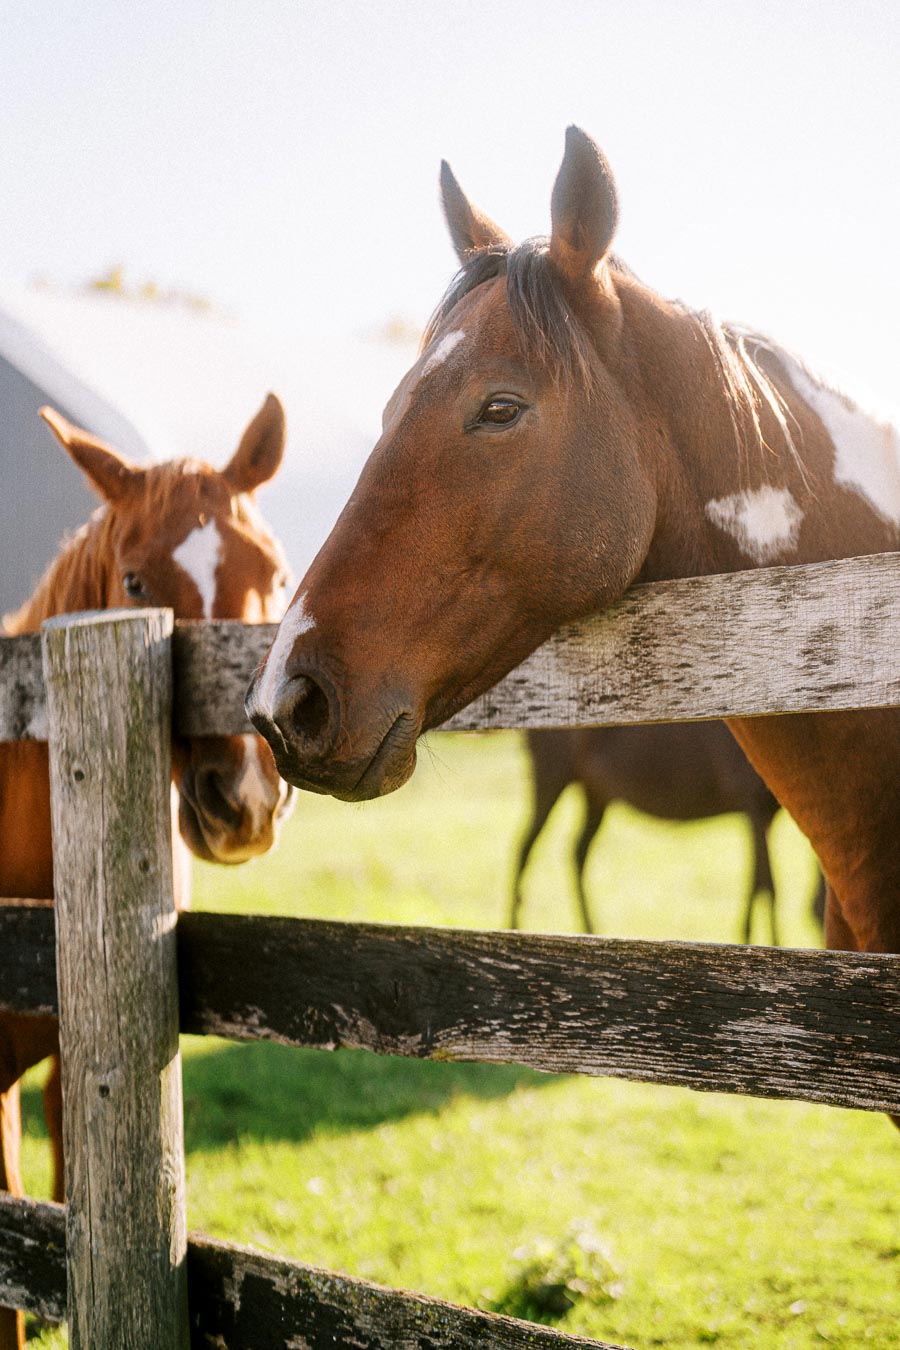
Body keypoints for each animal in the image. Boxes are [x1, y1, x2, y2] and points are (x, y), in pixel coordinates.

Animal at [513, 723, 826, 942]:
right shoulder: (752, 806)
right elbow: (768, 887)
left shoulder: (764, 816)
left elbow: (758, 884)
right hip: (552, 777)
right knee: (525, 850)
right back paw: (513, 925)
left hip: (596, 795)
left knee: (577, 852)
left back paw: (592, 932)